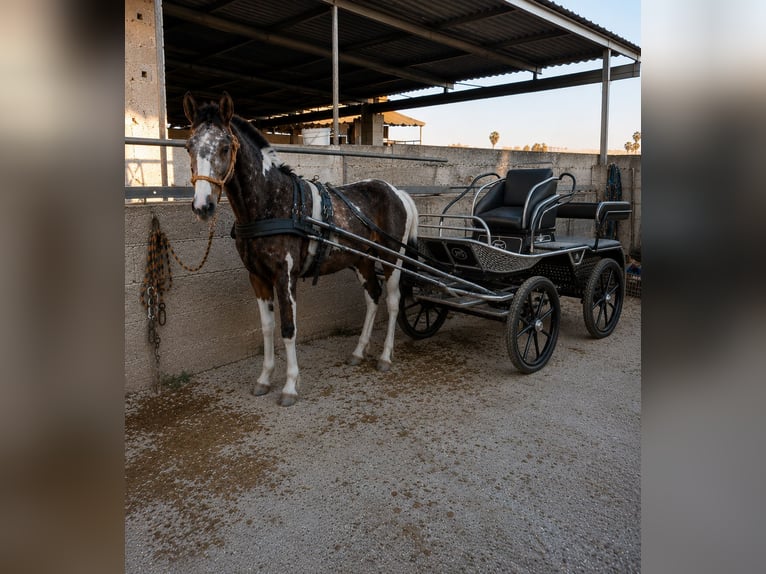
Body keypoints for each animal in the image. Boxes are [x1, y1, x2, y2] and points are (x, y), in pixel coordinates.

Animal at [182, 92, 418, 406]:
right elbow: (267, 328)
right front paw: (264, 378)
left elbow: (288, 329)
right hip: (362, 260)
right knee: (372, 298)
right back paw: (358, 351)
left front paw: (290, 386)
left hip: (392, 258)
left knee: (392, 302)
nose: (203, 206)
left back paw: (385, 357)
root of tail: (397, 191)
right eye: (189, 146)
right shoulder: (257, 277)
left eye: (224, 147)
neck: (274, 203)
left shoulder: (286, 276)